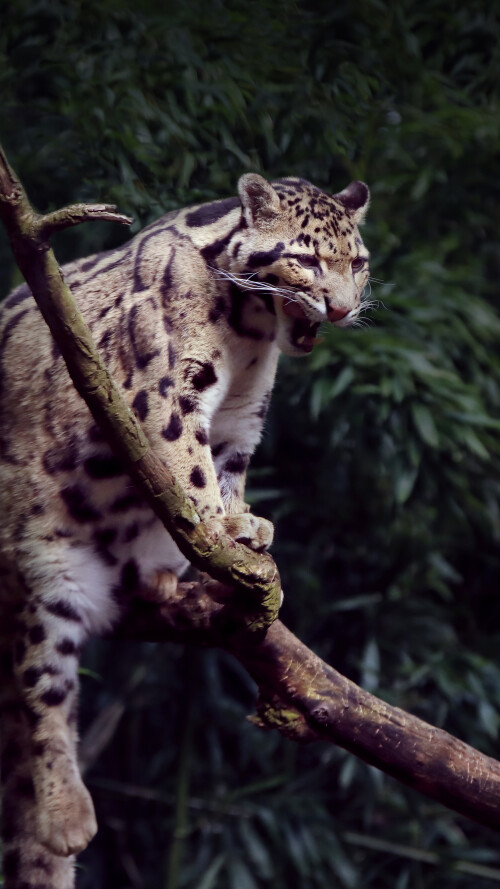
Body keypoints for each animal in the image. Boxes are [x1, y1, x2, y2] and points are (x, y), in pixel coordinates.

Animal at [0, 175, 368, 888]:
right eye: (306, 260)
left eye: (358, 263)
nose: (341, 310)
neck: (252, 332)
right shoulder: (163, 392)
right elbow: (187, 467)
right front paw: (222, 538)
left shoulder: (243, 417)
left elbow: (225, 473)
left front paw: (240, 528)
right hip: (43, 570)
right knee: (41, 692)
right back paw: (66, 814)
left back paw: (161, 577)